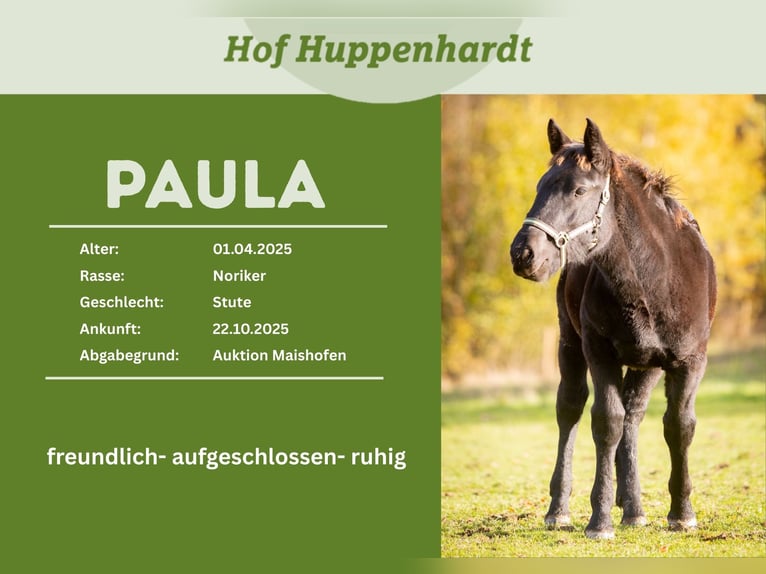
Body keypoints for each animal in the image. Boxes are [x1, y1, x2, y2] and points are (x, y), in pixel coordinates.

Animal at [509, 118, 717, 539]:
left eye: (579, 190)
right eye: (540, 186)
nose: (523, 254)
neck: (654, 279)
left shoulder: (689, 361)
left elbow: (679, 426)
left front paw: (682, 513)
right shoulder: (599, 352)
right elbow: (607, 423)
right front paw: (600, 519)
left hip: (647, 365)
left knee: (634, 417)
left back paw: (634, 509)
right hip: (570, 345)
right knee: (571, 409)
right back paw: (559, 510)